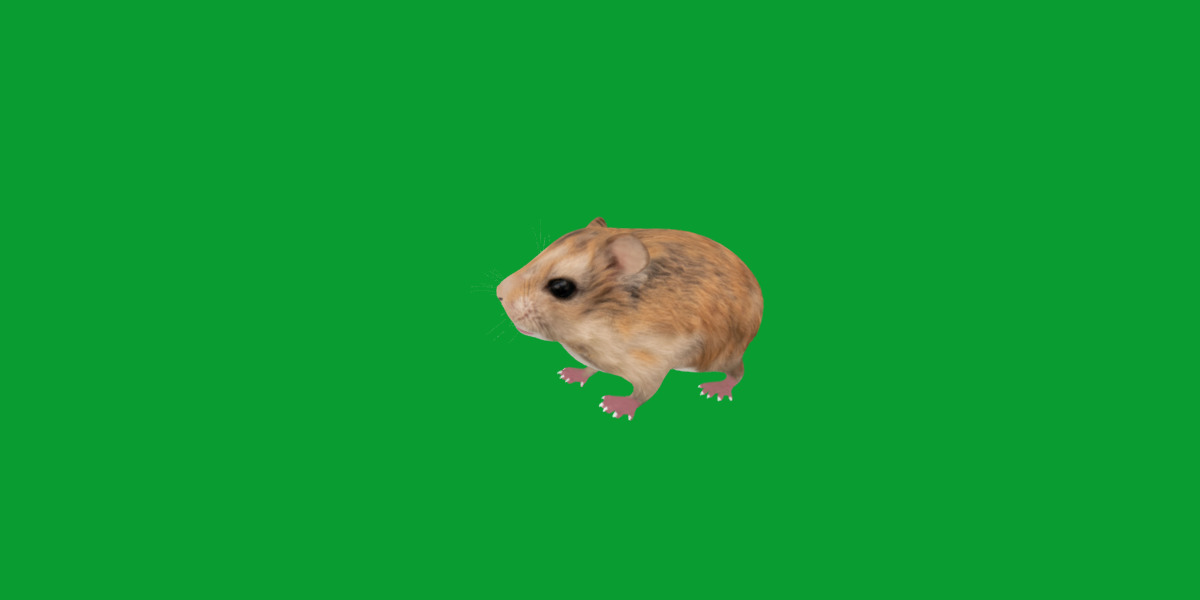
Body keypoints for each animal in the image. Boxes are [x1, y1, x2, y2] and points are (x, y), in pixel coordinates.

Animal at [496, 217, 763, 421]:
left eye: (561, 287)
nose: (499, 293)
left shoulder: (654, 361)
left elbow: (644, 392)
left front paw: (612, 407)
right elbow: (589, 369)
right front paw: (569, 375)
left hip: (720, 356)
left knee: (738, 373)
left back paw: (714, 390)